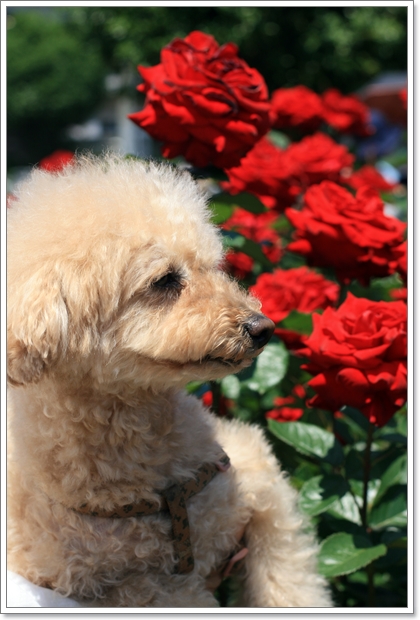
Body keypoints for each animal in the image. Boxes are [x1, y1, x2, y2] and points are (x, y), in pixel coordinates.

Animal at [6, 153, 334, 608]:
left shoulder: (258, 478)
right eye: (164, 280)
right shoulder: (118, 586)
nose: (262, 327)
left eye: (212, 267)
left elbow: (287, 575)